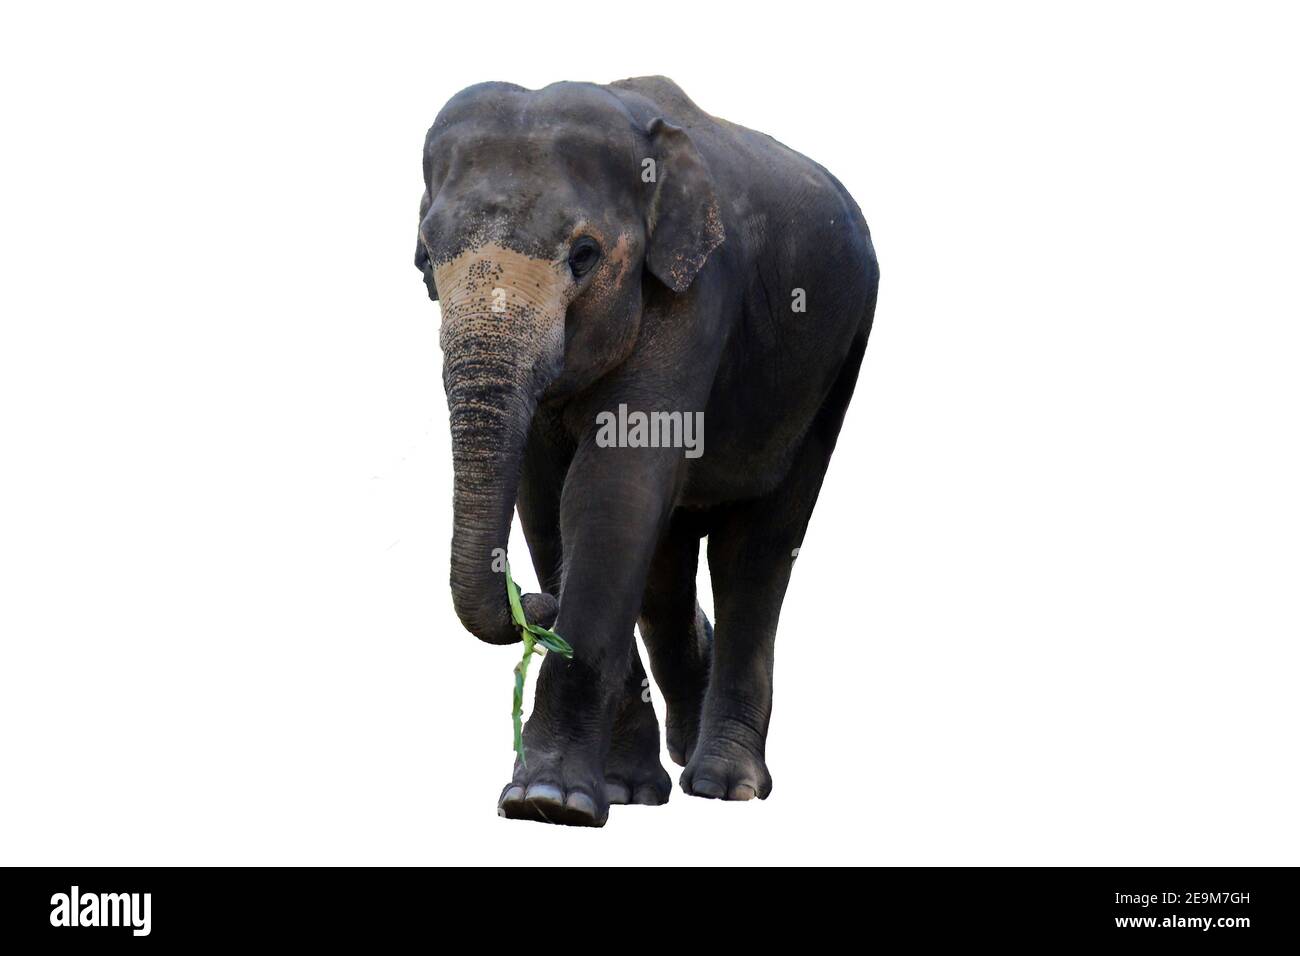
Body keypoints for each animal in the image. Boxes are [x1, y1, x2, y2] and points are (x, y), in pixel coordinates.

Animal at [414, 76, 878, 826]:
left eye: (584, 255)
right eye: (425, 260)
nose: (534, 607)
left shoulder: (697, 292)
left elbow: (612, 490)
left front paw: (549, 803)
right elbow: (549, 503)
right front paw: (618, 792)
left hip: (837, 363)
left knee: (757, 549)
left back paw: (724, 783)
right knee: (667, 569)